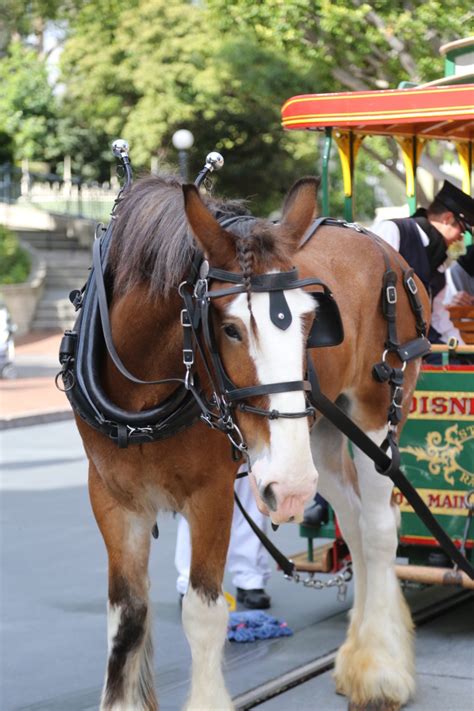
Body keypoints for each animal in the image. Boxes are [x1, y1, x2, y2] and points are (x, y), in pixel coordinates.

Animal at [77, 174, 430, 711]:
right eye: (229, 328)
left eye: (312, 323)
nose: (287, 491)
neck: (141, 400)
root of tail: (386, 249)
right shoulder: (112, 498)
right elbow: (127, 618)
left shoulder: (211, 496)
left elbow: (202, 615)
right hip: (319, 438)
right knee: (350, 519)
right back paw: (357, 655)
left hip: (370, 417)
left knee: (376, 528)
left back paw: (380, 668)